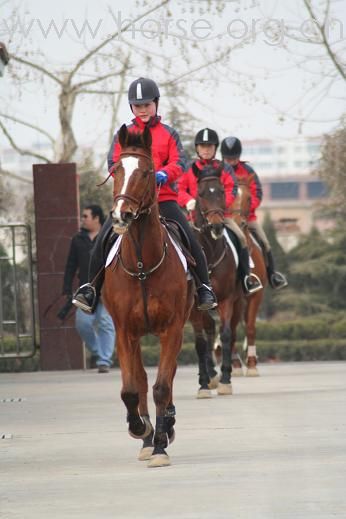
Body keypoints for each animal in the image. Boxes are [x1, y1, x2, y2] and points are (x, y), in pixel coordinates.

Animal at [102, 125, 195, 468]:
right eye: (116, 169)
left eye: (147, 172)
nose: (122, 214)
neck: (143, 264)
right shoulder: (124, 332)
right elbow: (131, 388)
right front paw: (140, 429)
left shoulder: (172, 330)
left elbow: (162, 386)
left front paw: (160, 445)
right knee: (140, 379)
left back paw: (165, 426)